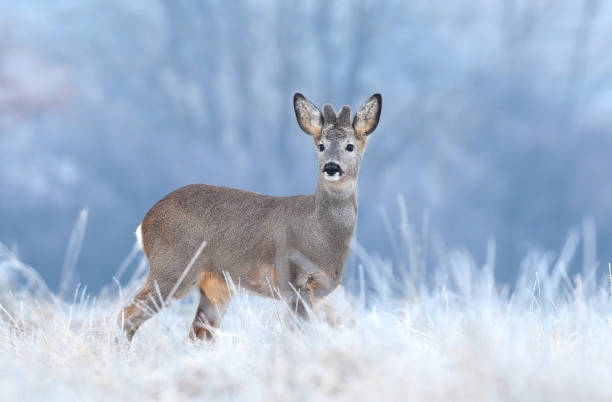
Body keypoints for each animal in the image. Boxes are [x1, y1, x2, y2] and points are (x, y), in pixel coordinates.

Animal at [117, 92, 380, 340]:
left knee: (197, 334)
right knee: (127, 314)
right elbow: (298, 333)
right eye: (321, 145)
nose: (331, 167)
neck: (321, 234)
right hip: (173, 267)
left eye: (350, 146)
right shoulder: (292, 280)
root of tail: (145, 223)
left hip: (216, 285)